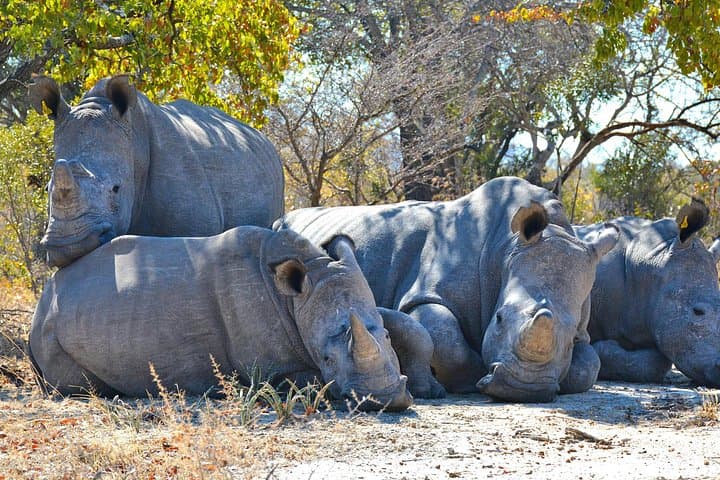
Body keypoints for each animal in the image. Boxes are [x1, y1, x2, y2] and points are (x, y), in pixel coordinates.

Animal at [29, 227, 413, 411]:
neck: (295, 299)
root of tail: (43, 299)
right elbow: (309, 381)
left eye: (388, 339)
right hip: (50, 329)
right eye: (328, 358)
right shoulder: (273, 368)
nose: (386, 400)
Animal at [277, 176, 619, 402]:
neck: (507, 249)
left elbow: (589, 366)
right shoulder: (425, 293)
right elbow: (446, 339)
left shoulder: (583, 324)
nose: (523, 389)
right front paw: (467, 380)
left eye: (571, 336)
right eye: (499, 318)